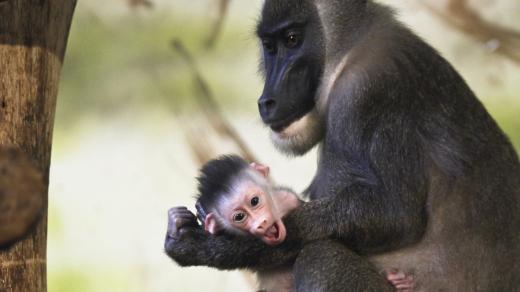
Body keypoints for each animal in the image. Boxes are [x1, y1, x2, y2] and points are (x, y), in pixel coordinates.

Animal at [168, 0, 520, 290]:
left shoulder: (368, 92)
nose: (267, 100)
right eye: (269, 46)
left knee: (320, 259)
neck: (349, 49)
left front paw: (207, 246)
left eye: (292, 39)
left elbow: (395, 214)